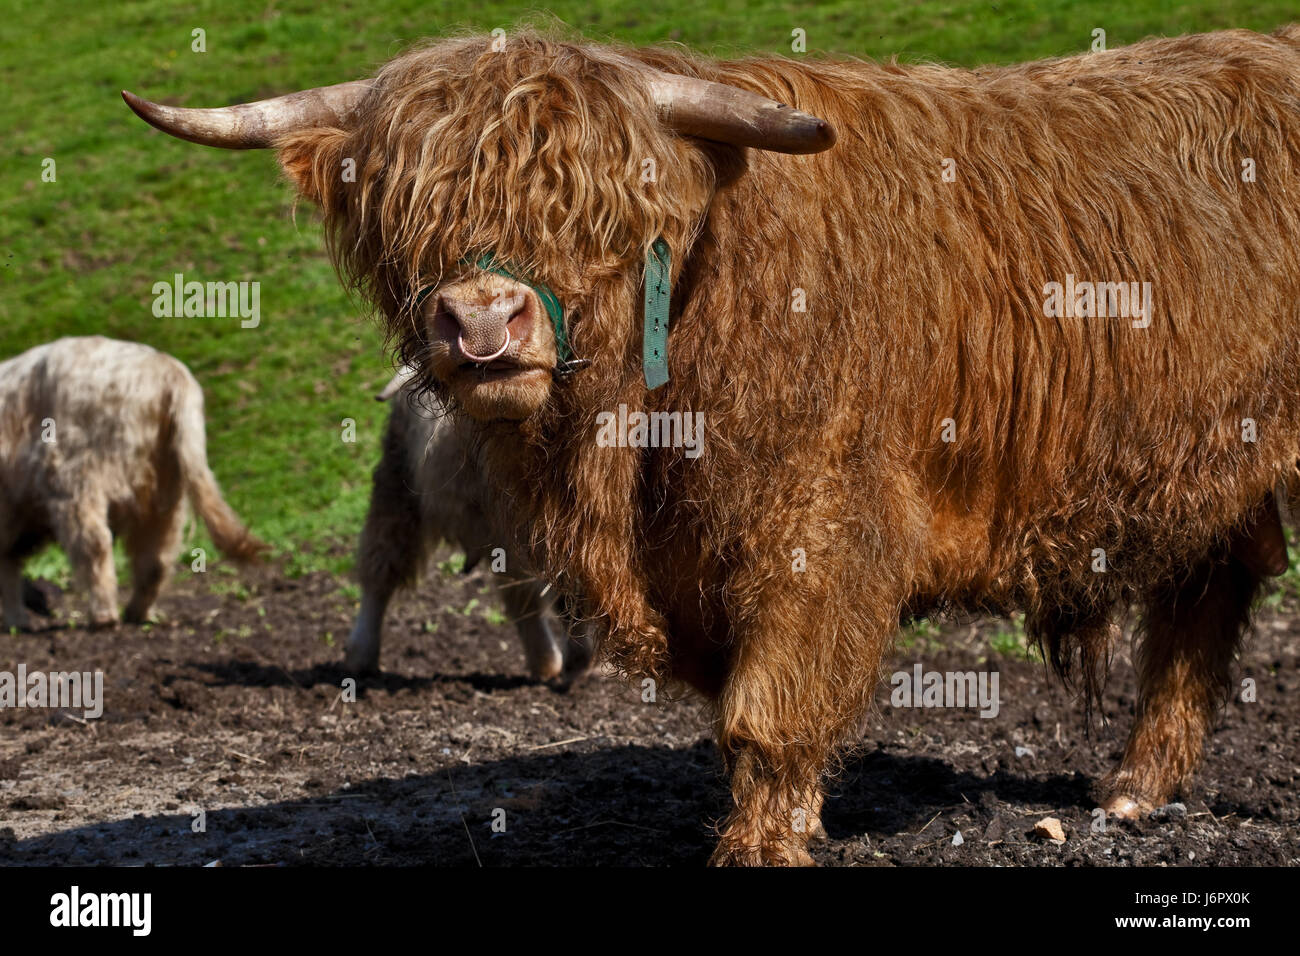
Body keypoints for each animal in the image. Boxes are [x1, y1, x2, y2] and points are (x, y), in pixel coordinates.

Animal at [0, 335, 263, 629]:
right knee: (156, 556)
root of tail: (168, 370)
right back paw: (137, 613)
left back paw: (103, 615)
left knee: (94, 543)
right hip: (164, 493)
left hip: (77, 479)